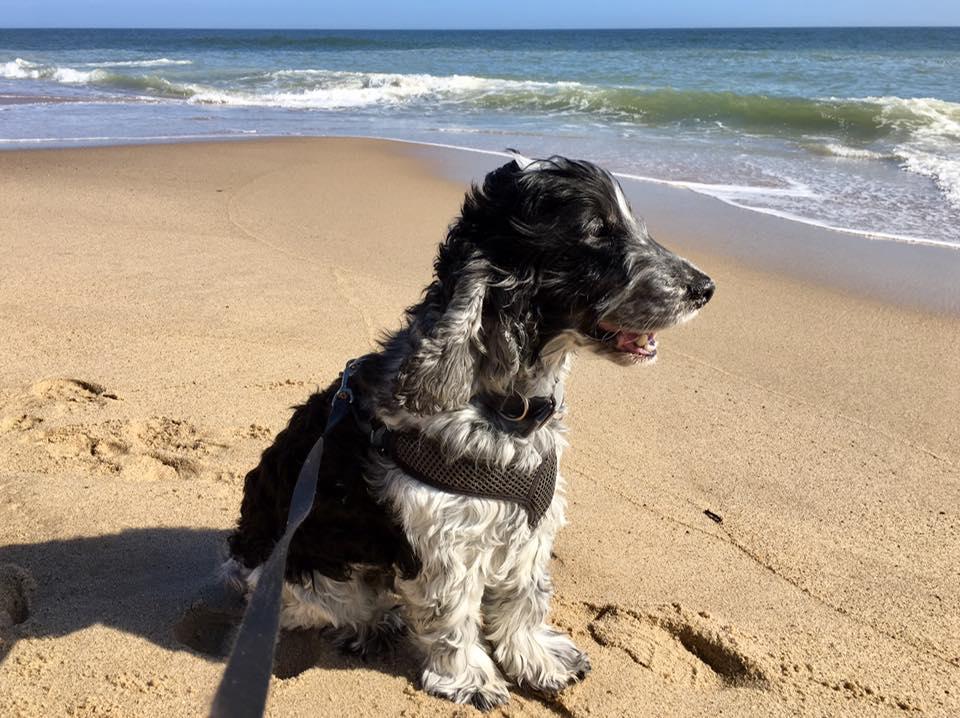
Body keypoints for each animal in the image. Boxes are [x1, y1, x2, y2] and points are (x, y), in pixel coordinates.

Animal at [223, 155, 712, 712]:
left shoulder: (530, 531)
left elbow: (525, 600)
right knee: (326, 606)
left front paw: (539, 659)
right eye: (595, 232)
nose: (705, 287)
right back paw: (376, 623)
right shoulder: (444, 544)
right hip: (299, 568)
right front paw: (469, 679)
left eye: (636, 226)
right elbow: (452, 617)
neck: (506, 407)